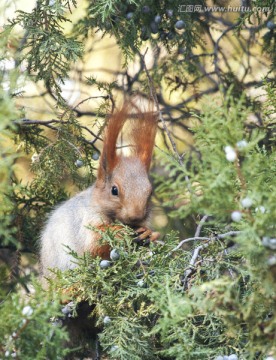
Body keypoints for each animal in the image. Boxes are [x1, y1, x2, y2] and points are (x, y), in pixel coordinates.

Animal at [39, 102, 158, 278]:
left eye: (150, 193)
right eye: (114, 190)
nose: (135, 216)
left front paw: (148, 233)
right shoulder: (88, 221)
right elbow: (93, 244)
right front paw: (118, 232)